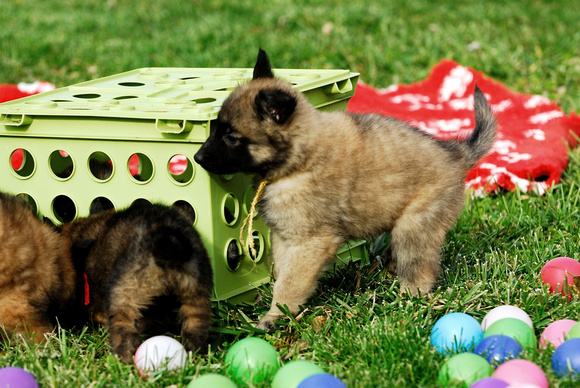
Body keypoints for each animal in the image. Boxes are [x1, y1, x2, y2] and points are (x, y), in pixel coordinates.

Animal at [60, 202, 213, 362]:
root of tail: (169, 240)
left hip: (123, 296)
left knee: (124, 332)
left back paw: (122, 360)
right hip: (197, 292)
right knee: (196, 324)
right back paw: (194, 353)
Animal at [194, 47, 494, 328]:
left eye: (231, 137)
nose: (197, 158)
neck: (299, 160)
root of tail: (455, 153)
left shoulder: (310, 242)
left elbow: (290, 282)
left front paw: (276, 315)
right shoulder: (284, 237)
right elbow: (281, 270)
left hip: (415, 225)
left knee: (419, 265)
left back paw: (409, 296)